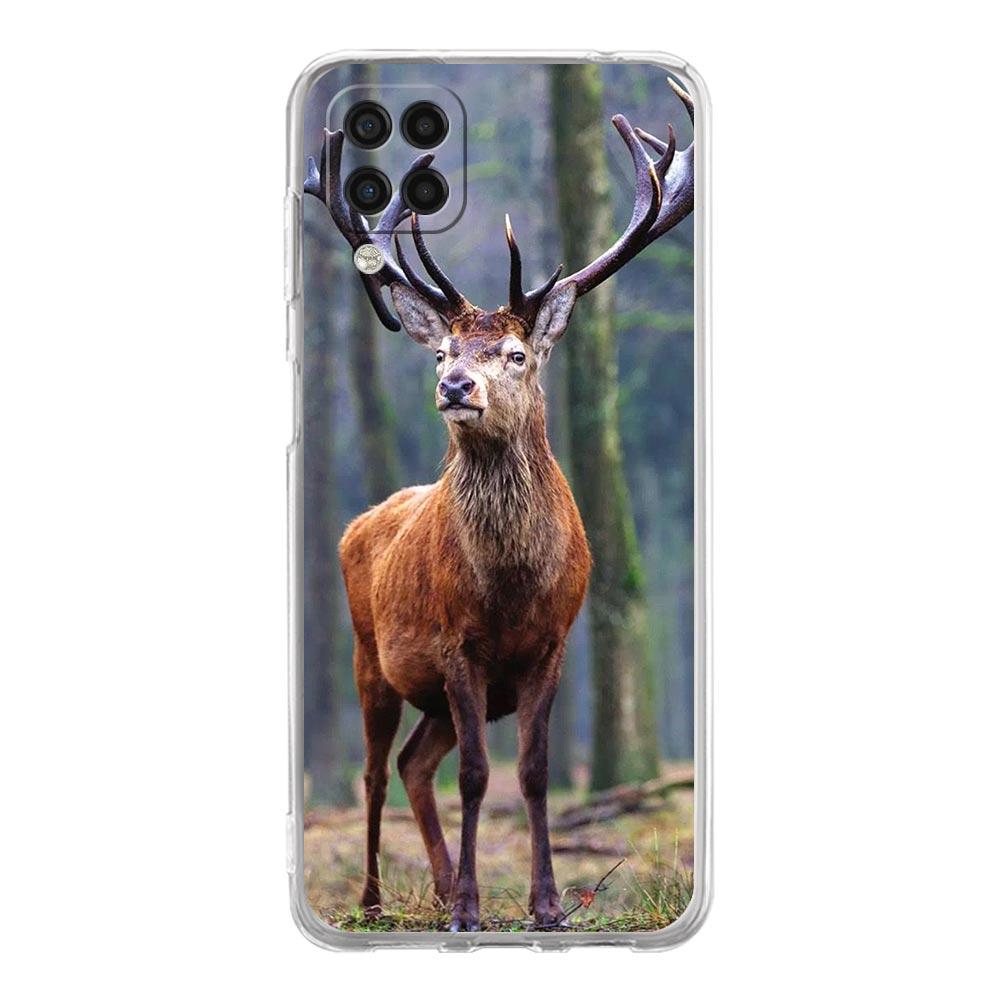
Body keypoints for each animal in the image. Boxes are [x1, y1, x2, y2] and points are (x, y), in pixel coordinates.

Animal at [304, 79, 694, 931]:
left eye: (515, 354)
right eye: (443, 351)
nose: (455, 387)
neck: (510, 587)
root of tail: (359, 522)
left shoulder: (552, 642)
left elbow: (537, 772)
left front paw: (546, 905)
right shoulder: (458, 645)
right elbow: (480, 776)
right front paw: (471, 910)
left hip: (431, 695)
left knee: (416, 764)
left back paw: (440, 883)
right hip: (368, 656)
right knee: (377, 771)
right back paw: (378, 899)